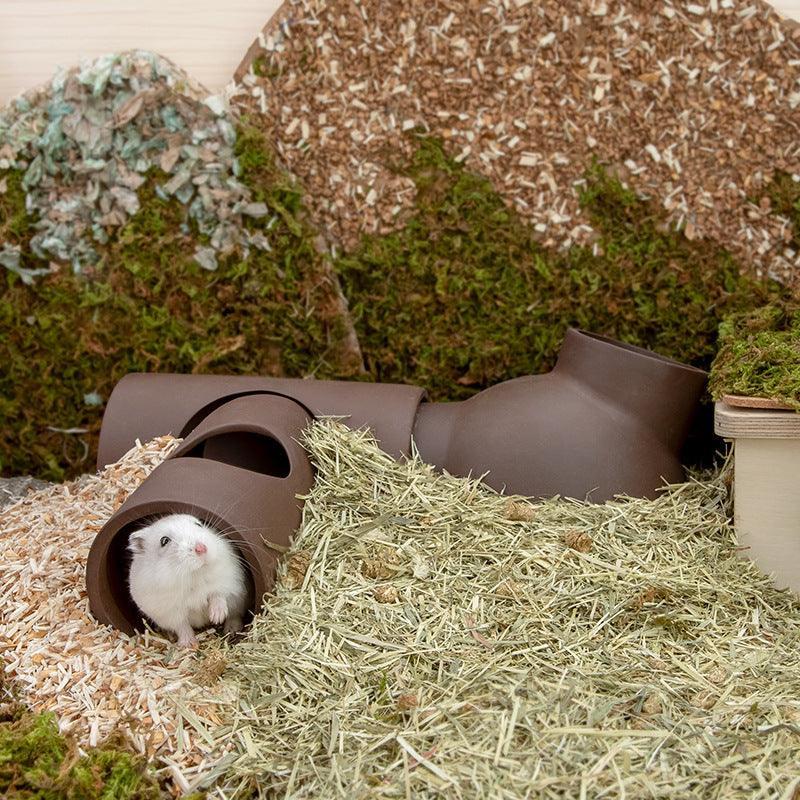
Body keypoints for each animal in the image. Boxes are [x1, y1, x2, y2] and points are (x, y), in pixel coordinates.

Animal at [127, 513, 249, 648]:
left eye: (198, 524)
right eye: (164, 541)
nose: (201, 548)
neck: (193, 575)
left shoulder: (229, 581)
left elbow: (218, 594)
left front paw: (217, 617)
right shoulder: (169, 614)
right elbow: (182, 627)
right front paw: (188, 645)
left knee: (234, 614)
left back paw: (232, 630)